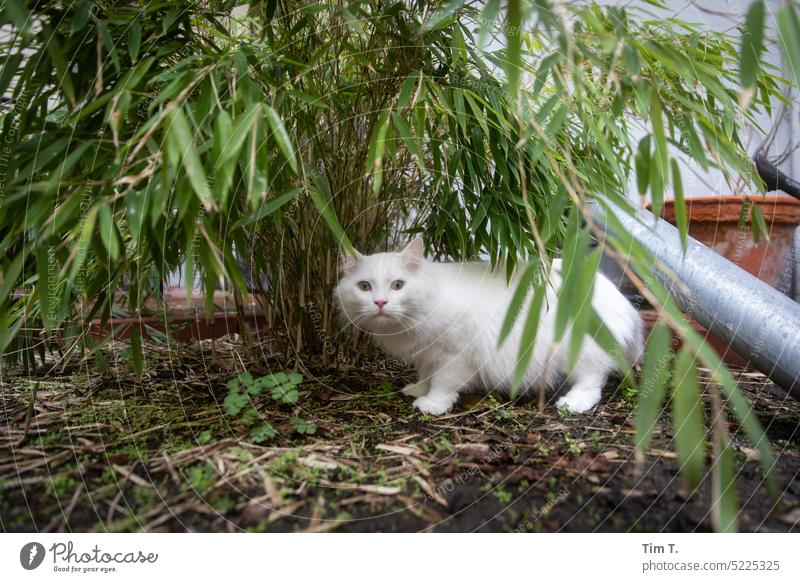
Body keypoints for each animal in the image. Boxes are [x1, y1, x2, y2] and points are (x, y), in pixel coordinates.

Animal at [332, 240, 644, 418]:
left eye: (398, 285)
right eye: (364, 286)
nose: (380, 302)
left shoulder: (455, 354)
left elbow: (443, 381)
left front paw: (432, 404)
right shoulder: (427, 354)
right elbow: (426, 374)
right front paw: (417, 389)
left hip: (581, 353)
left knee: (593, 381)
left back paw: (573, 402)